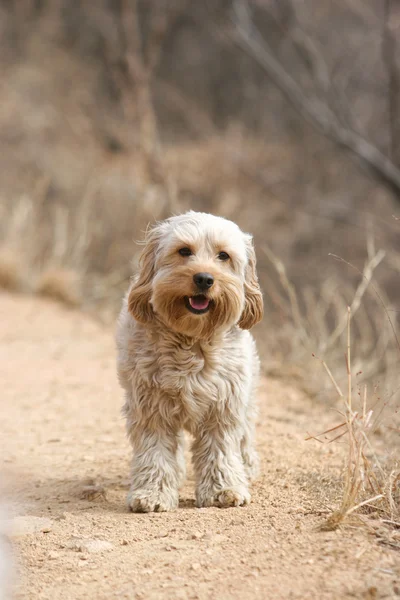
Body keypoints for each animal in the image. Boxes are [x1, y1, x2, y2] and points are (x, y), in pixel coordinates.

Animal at [117, 211, 264, 510]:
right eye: (184, 251)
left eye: (223, 255)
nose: (204, 279)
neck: (192, 340)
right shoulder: (151, 407)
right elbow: (156, 452)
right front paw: (153, 493)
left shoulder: (224, 405)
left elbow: (221, 450)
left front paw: (224, 489)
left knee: (245, 434)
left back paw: (247, 466)